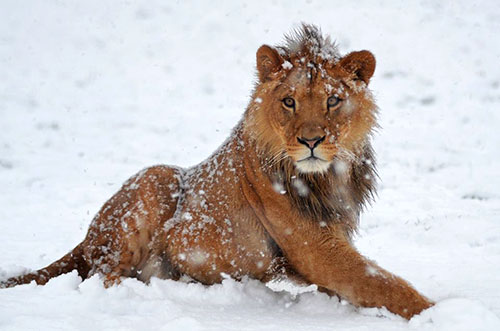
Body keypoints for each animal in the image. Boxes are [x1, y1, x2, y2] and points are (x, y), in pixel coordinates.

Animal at [0, 24, 432, 320]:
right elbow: (385, 284)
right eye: (289, 101)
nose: (311, 140)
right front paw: (437, 312)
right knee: (101, 275)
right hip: (155, 179)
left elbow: (371, 286)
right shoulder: (316, 249)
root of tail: (87, 236)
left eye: (333, 100)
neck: (327, 176)